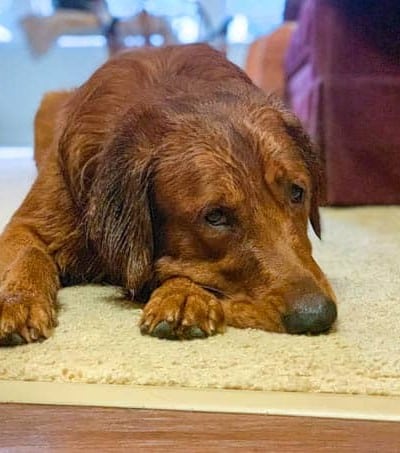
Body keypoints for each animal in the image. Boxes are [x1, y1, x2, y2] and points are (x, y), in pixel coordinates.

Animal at [0, 45, 336, 342]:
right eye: (215, 217)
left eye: (297, 193)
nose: (316, 315)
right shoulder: (28, 223)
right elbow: (29, 253)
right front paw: (18, 299)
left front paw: (183, 295)